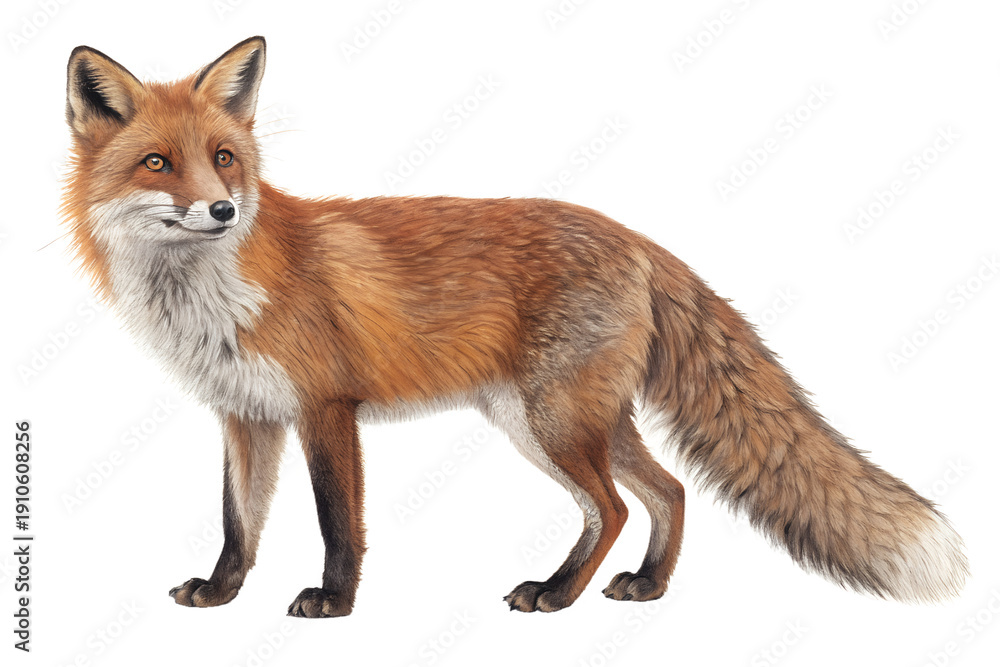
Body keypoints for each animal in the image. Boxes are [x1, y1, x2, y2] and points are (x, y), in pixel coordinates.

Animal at [62, 36, 968, 618]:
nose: (222, 209)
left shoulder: (326, 407)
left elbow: (336, 521)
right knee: (666, 491)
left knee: (616, 506)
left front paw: (335, 600)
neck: (214, 292)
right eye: (157, 164)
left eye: (223, 159)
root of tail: (638, 237)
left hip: (554, 421)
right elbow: (236, 523)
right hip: (563, 420)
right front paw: (220, 593)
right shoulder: (245, 415)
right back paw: (645, 586)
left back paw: (558, 594)